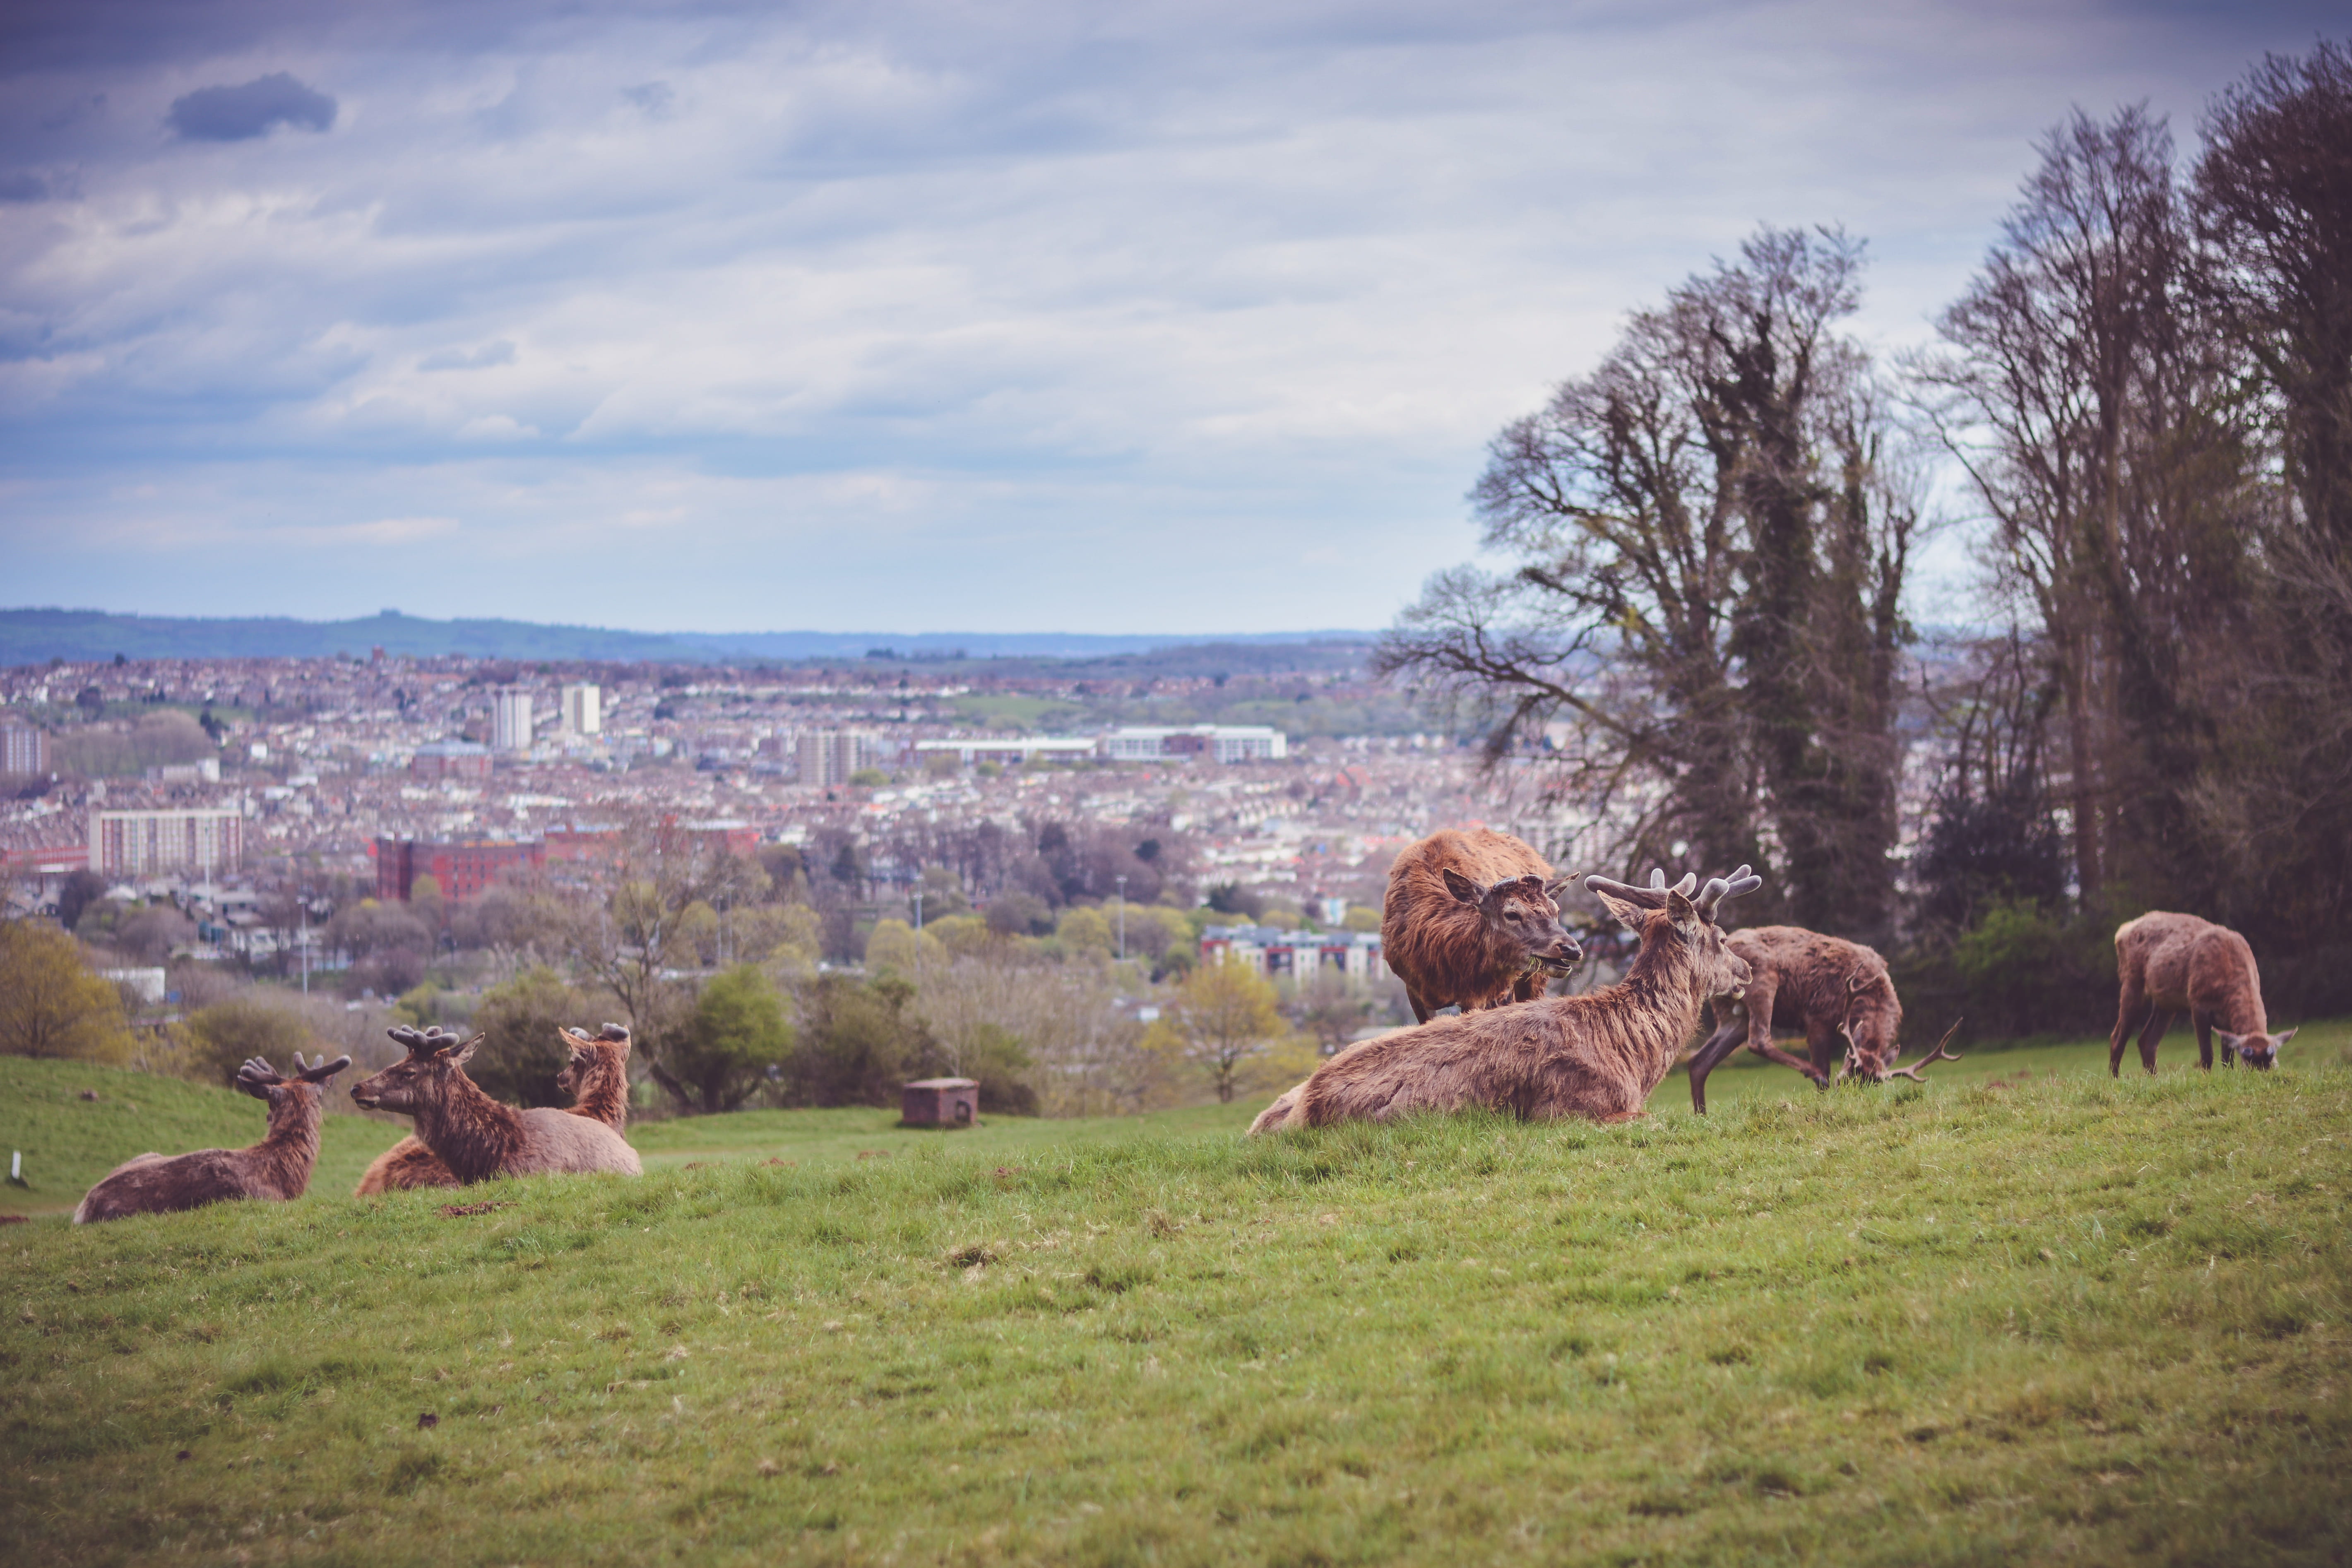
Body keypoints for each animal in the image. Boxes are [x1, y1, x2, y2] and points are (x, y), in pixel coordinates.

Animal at [1684, 927, 1961, 1113]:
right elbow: (1824, 1066)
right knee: (1759, 1040)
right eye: (1847, 1072)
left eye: (1870, 1086)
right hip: (1763, 977)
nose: (1845, 1094)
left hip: (1733, 1014)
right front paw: (1824, 1090)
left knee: (1700, 1061)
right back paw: (1814, 1073)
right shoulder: (1817, 1016)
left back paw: (1702, 1116)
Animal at [2110, 911, 2296, 1075]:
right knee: (2117, 1037)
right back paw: (2115, 1079)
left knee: (2147, 1041)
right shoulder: (2197, 1002)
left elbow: (2227, 1059)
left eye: (2272, 1064)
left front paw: (2228, 1077)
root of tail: (2122, 931)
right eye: (2247, 1061)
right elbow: (2207, 1054)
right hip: (2131, 982)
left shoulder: (2226, 1021)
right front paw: (2206, 1078)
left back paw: (2155, 1079)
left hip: (2166, 1003)